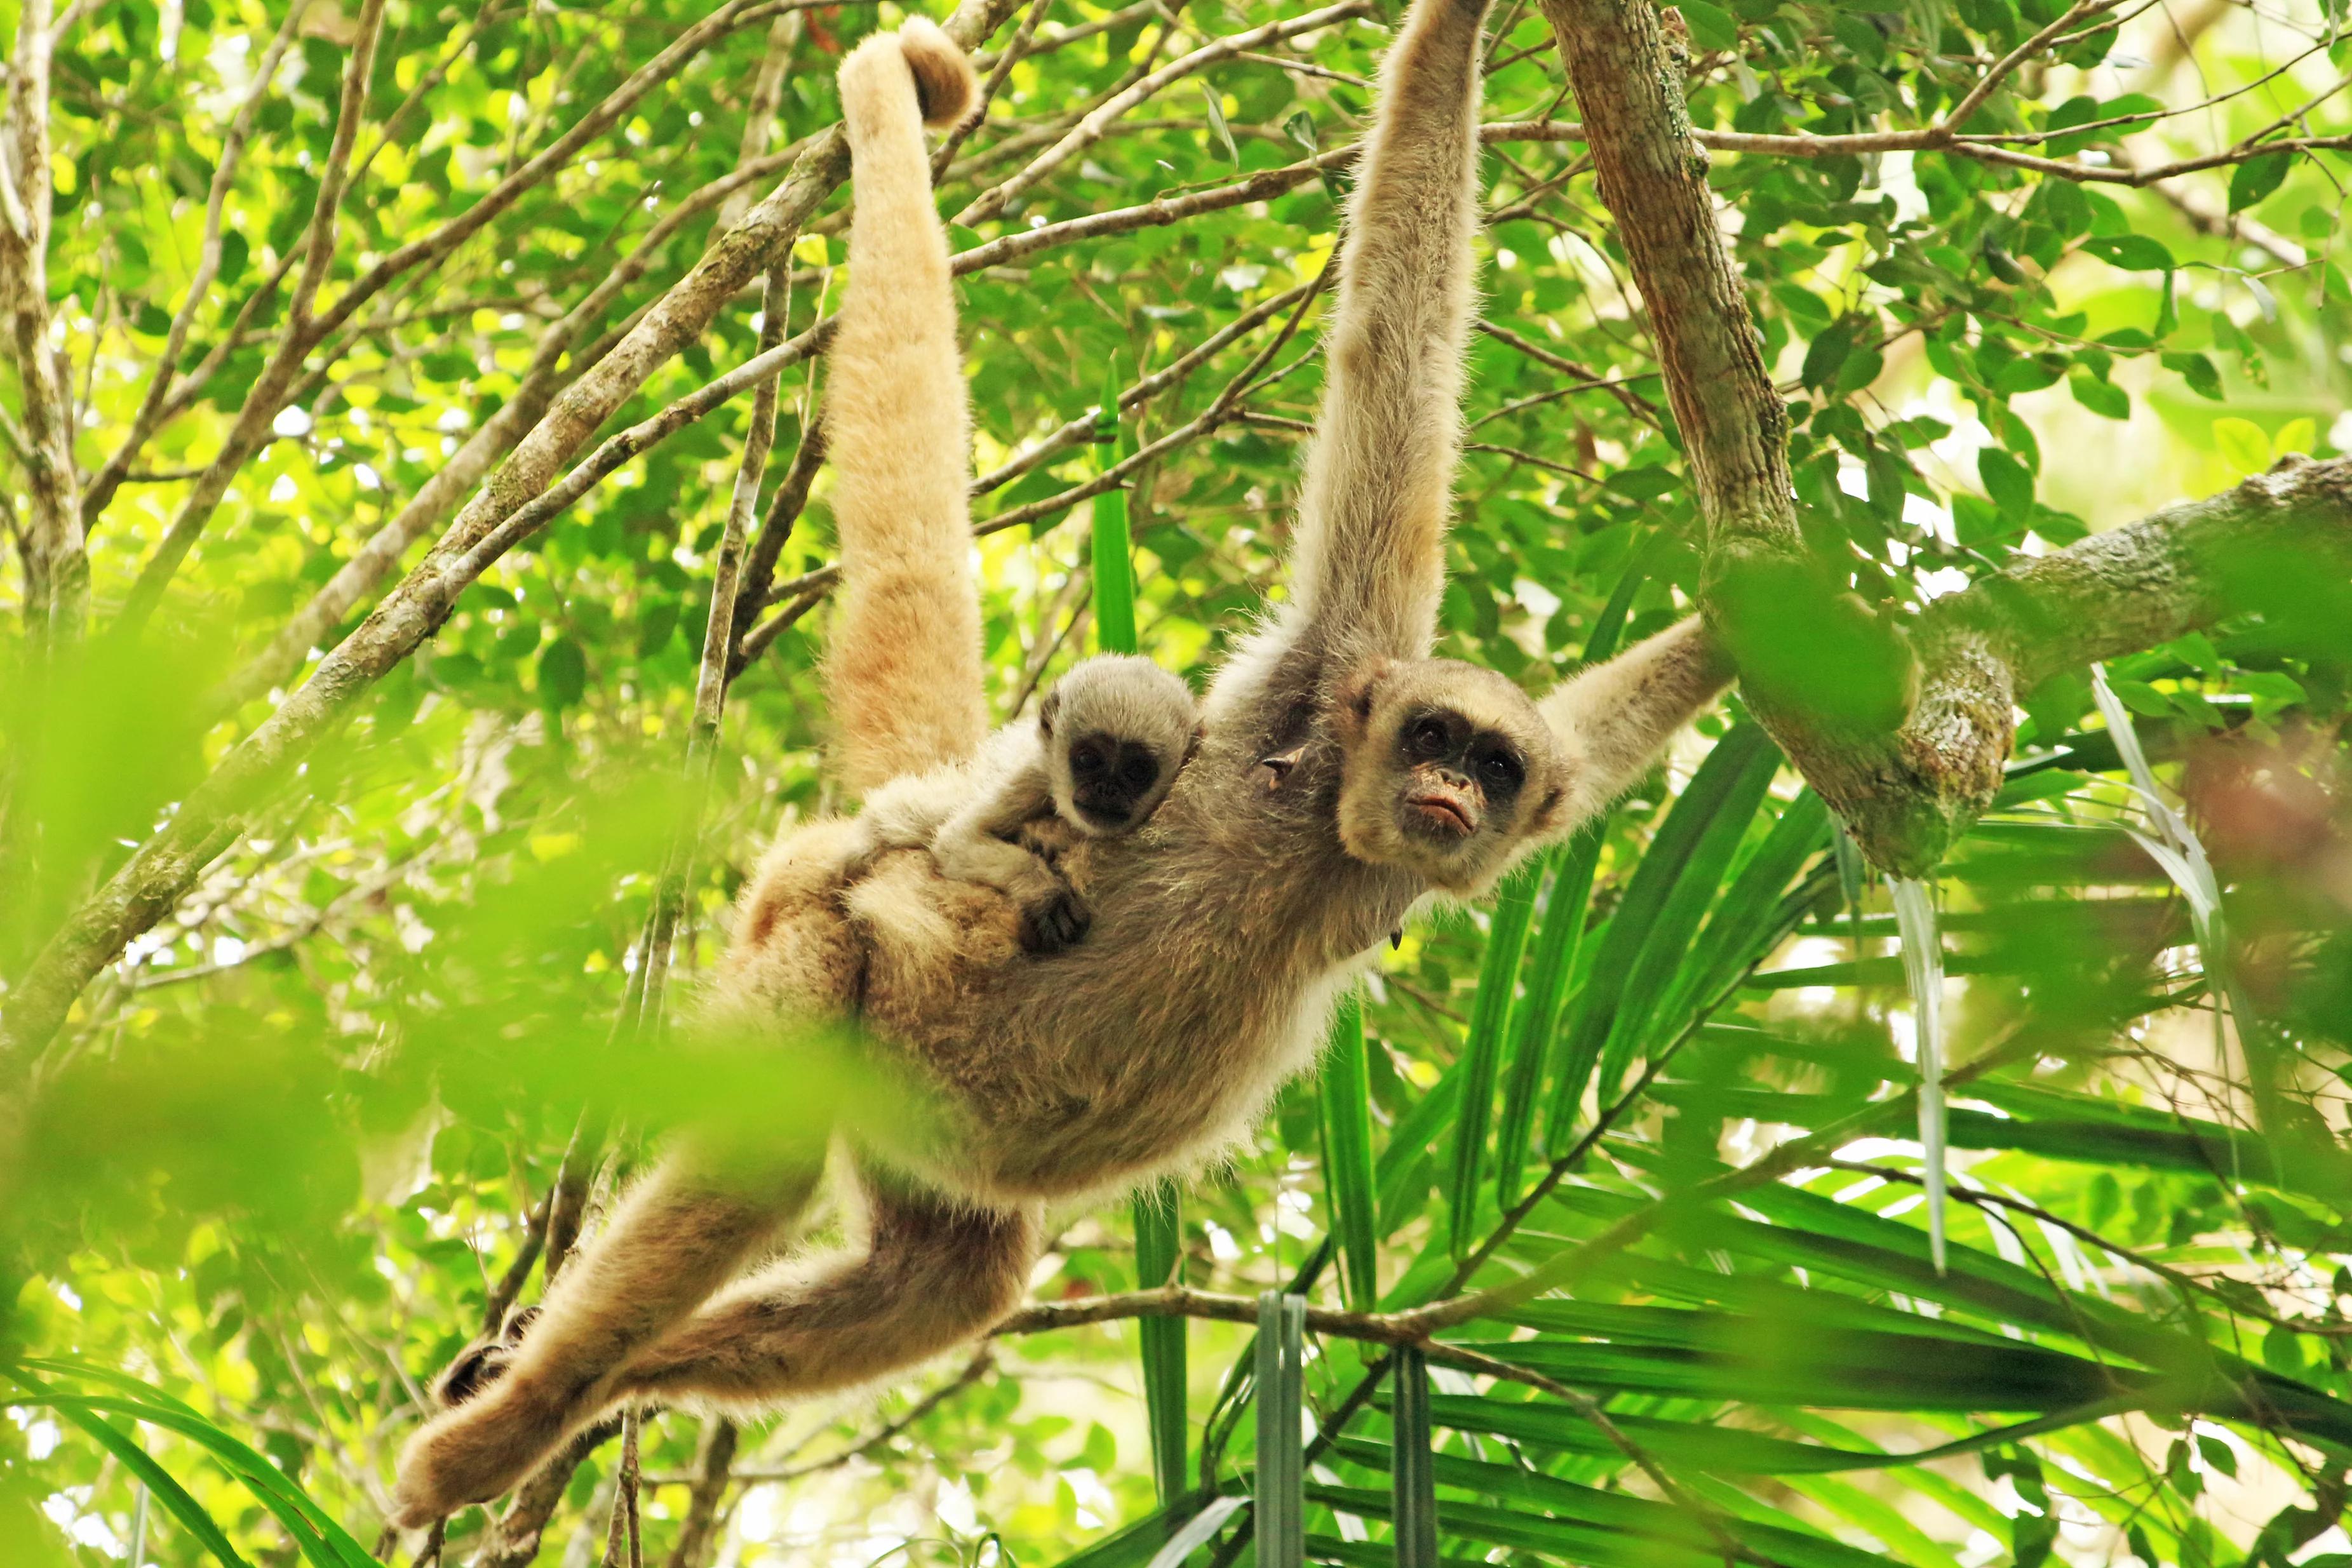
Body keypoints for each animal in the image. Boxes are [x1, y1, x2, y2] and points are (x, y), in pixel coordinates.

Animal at [856, 653, 1195, 949]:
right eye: (1088, 760)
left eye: (1137, 771)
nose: (1107, 790)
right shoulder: (1031, 777)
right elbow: (958, 839)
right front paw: (1045, 893)